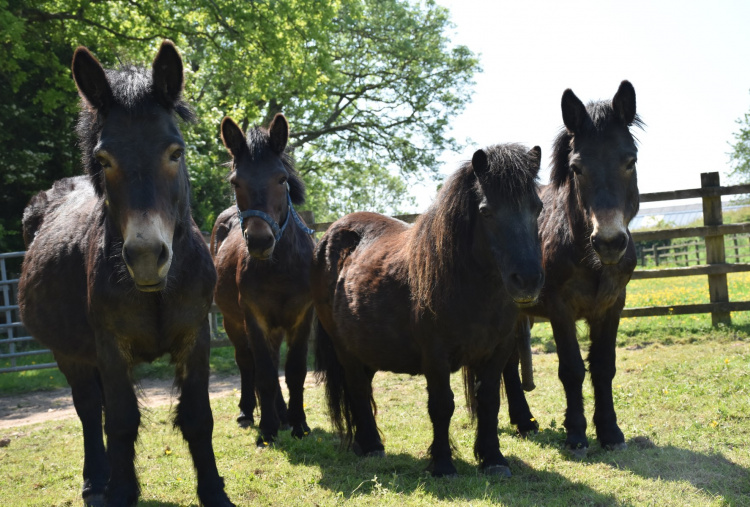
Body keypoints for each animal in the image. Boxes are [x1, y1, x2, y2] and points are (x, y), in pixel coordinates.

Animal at [18, 41, 235, 506]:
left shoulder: (196, 337)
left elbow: (198, 417)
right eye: (104, 159)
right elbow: (118, 420)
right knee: (87, 408)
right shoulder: (110, 346)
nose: (147, 256)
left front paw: (213, 491)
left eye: (176, 152)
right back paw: (97, 481)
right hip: (70, 352)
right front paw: (119, 492)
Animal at [210, 114, 316, 448]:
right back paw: (249, 412)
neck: (279, 268)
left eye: (281, 179)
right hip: (233, 321)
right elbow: (266, 374)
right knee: (247, 362)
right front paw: (267, 428)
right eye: (236, 182)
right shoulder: (253, 318)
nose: (259, 241)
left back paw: (283, 415)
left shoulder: (301, 317)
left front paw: (299, 424)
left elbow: (294, 372)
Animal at [312, 145, 548, 478]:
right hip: (344, 347)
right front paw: (443, 464)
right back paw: (372, 446)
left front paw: (493, 459)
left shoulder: (497, 351)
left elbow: (489, 401)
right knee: (357, 387)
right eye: (486, 211)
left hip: (366, 345)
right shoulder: (435, 356)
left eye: (537, 208)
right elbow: (442, 405)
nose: (527, 280)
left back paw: (362, 443)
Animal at [502, 82, 644, 456]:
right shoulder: (559, 309)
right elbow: (572, 369)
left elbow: (603, 366)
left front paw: (610, 432)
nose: (609, 242)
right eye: (577, 168)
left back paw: (525, 421)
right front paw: (576, 433)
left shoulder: (612, 306)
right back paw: (523, 421)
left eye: (631, 161)